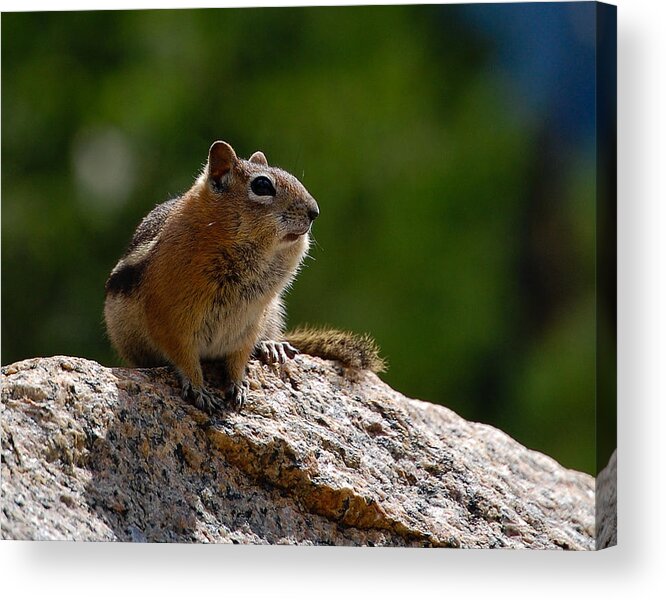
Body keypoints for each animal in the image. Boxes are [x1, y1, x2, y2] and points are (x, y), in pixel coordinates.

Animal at [104, 140, 384, 412]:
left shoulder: (250, 323)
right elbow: (183, 357)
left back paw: (272, 345)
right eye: (262, 185)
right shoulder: (171, 320)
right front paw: (198, 388)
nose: (314, 211)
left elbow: (240, 356)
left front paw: (238, 383)